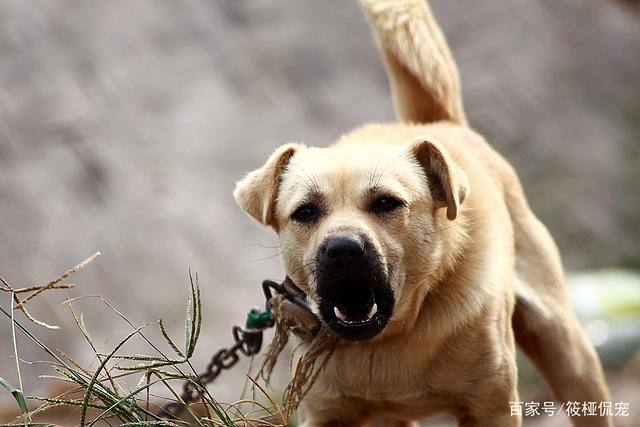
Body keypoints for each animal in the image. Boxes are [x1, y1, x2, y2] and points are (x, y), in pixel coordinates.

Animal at [234, 1, 608, 426]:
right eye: (306, 211)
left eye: (386, 203)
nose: (343, 249)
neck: (394, 337)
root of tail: (439, 123)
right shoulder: (328, 411)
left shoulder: (492, 404)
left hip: (568, 352)